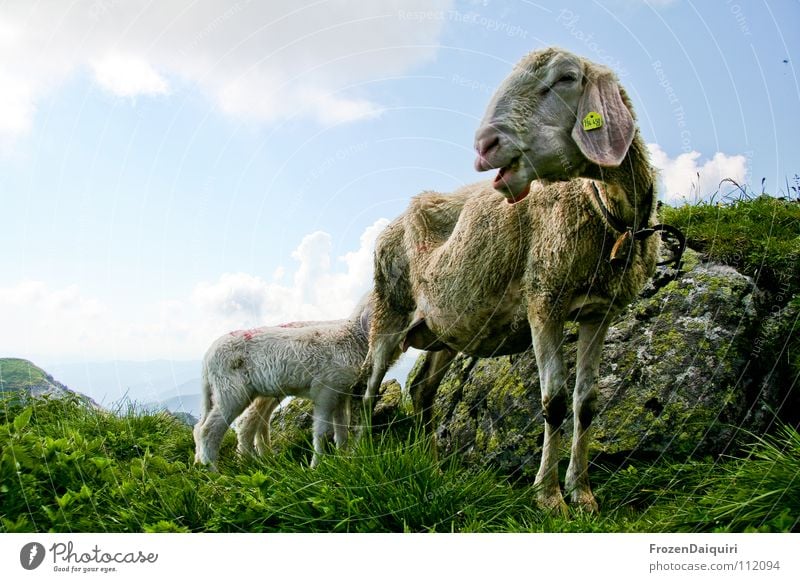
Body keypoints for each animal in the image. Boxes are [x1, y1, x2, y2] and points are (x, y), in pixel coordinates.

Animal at [194, 296, 372, 470]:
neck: (349, 337)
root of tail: (207, 358)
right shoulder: (325, 390)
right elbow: (322, 431)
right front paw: (318, 466)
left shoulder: (340, 391)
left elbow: (341, 429)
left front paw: (344, 459)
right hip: (230, 390)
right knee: (210, 430)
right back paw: (215, 472)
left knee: (203, 427)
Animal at [362, 50, 664, 516]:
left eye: (567, 78)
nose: (485, 146)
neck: (605, 210)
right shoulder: (544, 299)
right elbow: (554, 401)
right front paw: (550, 496)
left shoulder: (600, 311)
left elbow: (586, 402)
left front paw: (583, 493)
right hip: (388, 313)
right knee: (368, 390)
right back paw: (351, 455)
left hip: (448, 329)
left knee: (422, 388)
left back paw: (432, 466)